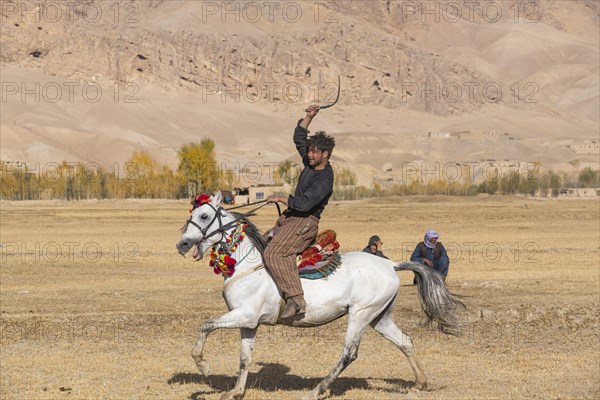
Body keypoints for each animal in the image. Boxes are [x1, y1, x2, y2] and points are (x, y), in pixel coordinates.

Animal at [175, 192, 464, 398]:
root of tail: (390, 265)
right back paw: (420, 383)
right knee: (405, 341)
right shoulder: (249, 323)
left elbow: (206, 325)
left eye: (204, 216)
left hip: (360, 315)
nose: (182, 244)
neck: (246, 265)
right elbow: (245, 358)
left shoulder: (244, 315)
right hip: (379, 317)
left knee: (349, 354)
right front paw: (235, 392)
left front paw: (203, 366)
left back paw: (318, 390)